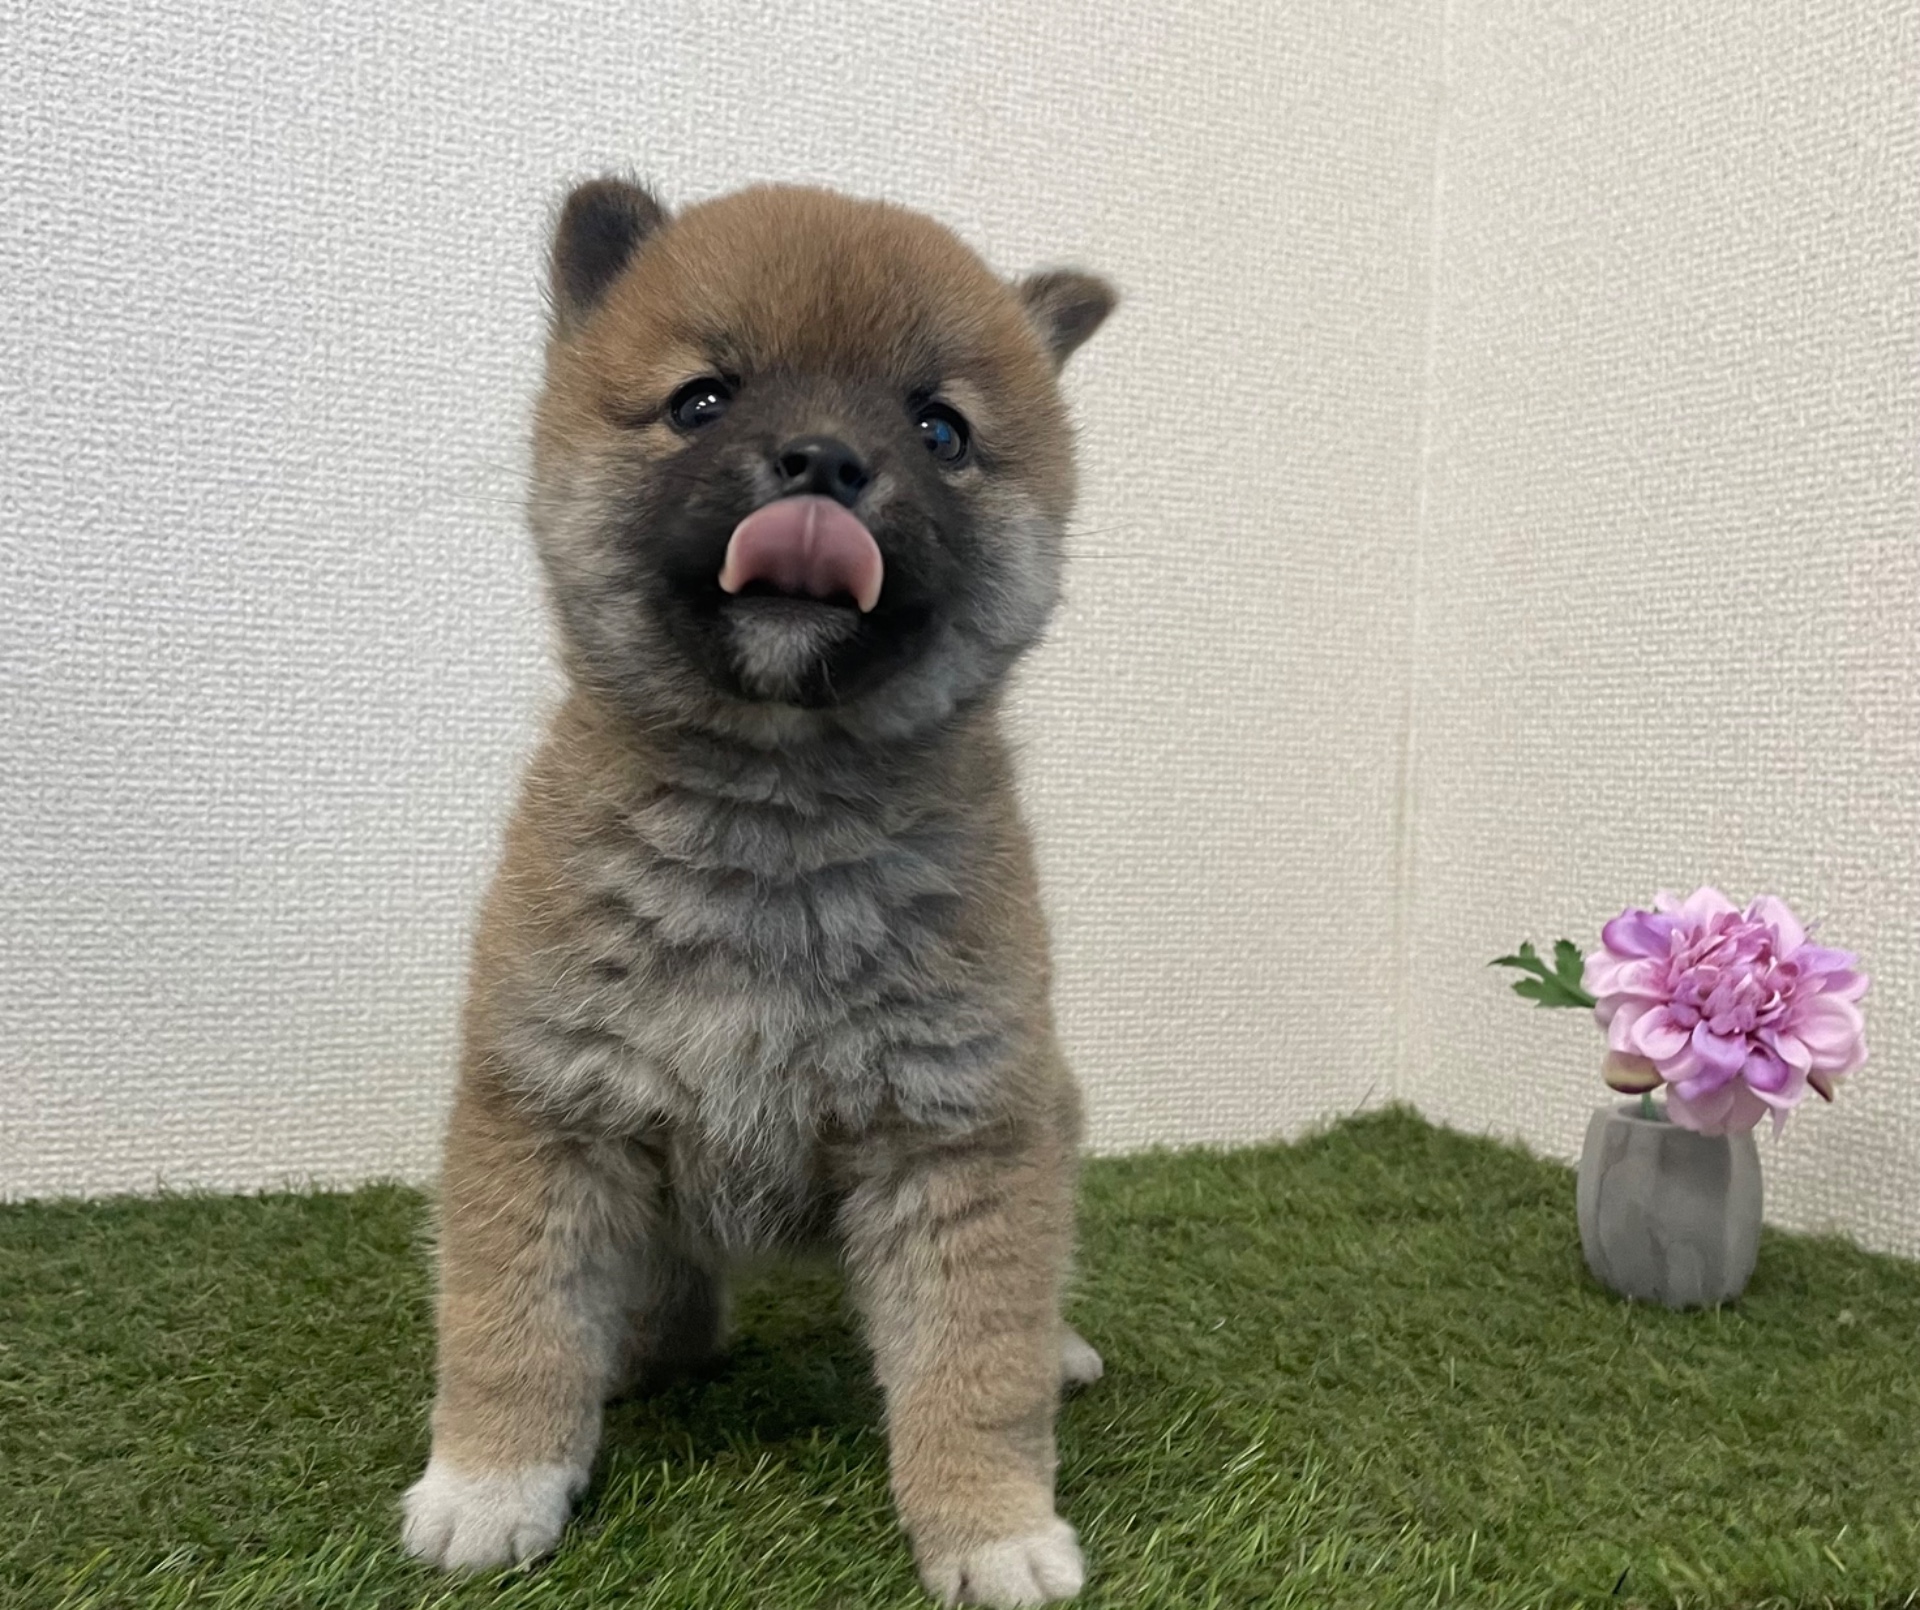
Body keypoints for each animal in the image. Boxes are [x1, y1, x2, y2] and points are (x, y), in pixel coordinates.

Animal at [399, 177, 1113, 1608]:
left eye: (939, 427)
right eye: (704, 400)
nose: (824, 462)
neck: (774, 819)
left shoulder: (959, 1134)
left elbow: (973, 1365)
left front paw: (990, 1524)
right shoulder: (548, 1106)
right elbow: (512, 1321)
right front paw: (492, 1479)